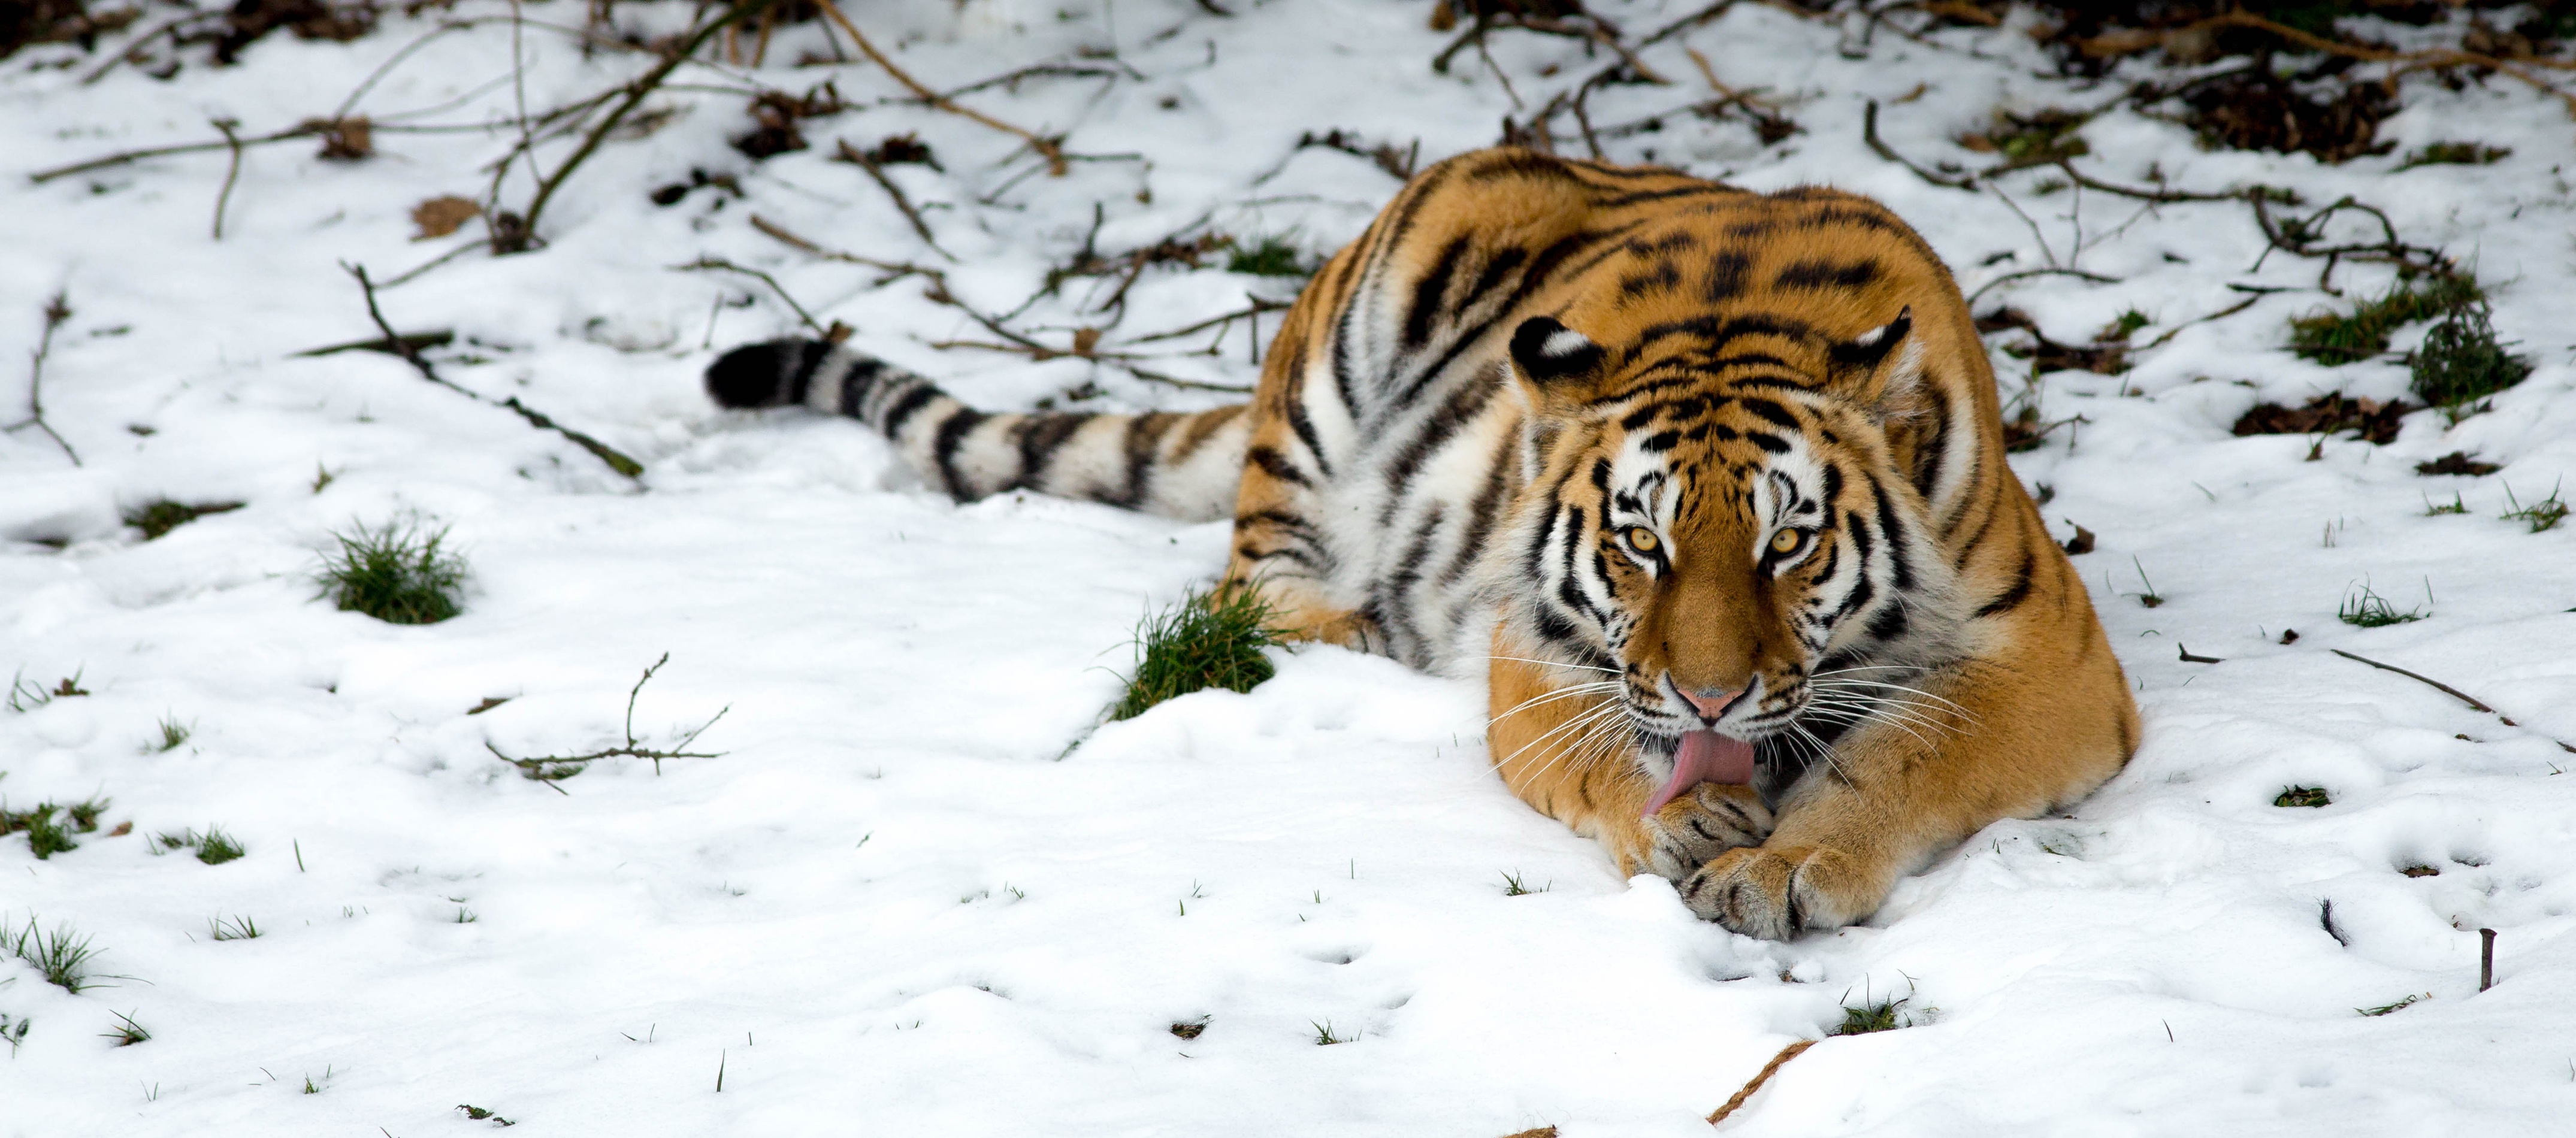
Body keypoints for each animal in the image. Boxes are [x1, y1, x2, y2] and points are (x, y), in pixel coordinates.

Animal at [703, 147, 2140, 939]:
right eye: (1640, 539)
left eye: (1787, 544)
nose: (1708, 696)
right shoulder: (1533, 651)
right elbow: (1598, 755)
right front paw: (1684, 822)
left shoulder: (2050, 664)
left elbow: (1903, 751)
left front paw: (1781, 866)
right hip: (1345, 356)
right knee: (1245, 592)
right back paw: (1360, 626)